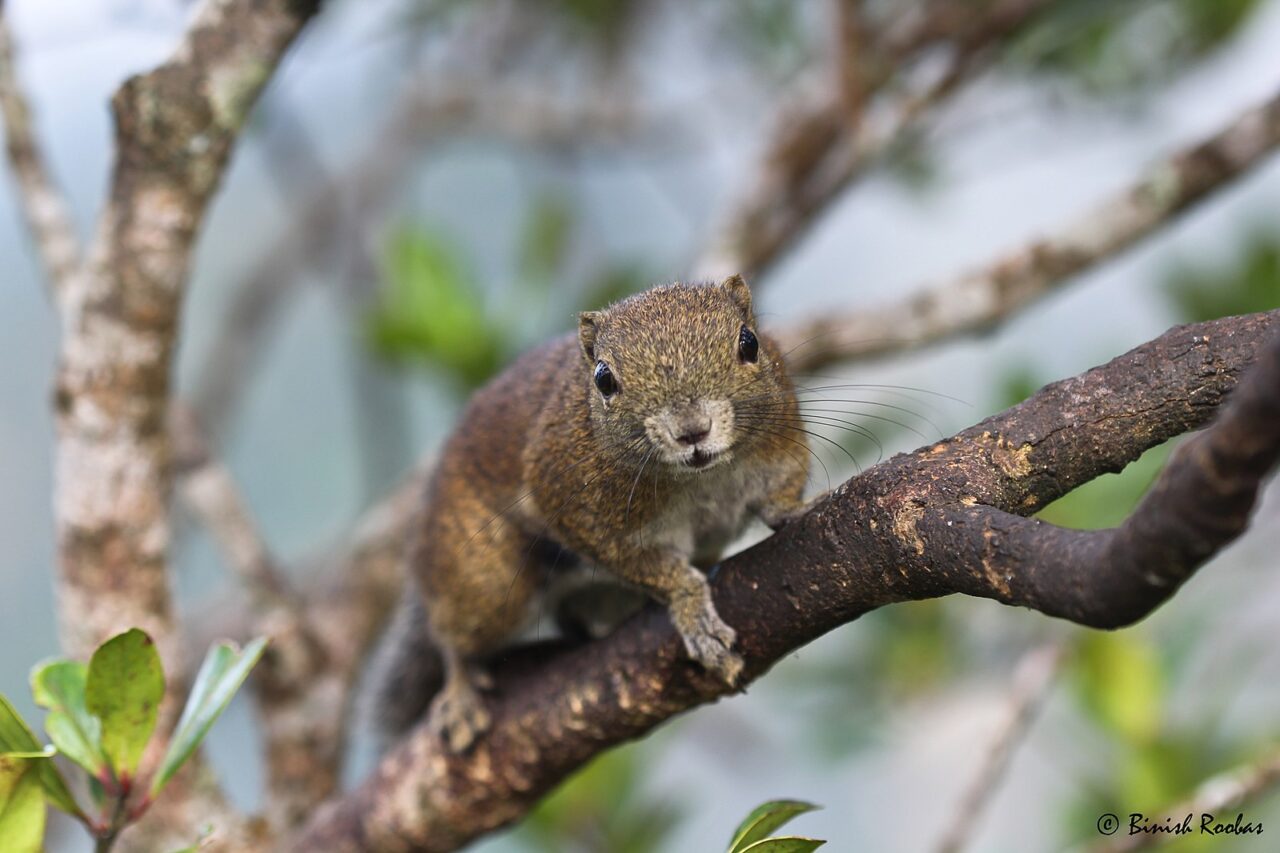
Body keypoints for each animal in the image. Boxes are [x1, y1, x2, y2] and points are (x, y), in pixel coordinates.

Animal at [371, 275, 808, 747]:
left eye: (749, 343)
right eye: (603, 379)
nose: (692, 431)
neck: (703, 477)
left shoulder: (781, 443)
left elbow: (779, 497)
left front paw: (798, 510)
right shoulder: (567, 497)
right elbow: (650, 567)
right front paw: (694, 612)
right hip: (482, 574)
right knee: (454, 636)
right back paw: (460, 691)